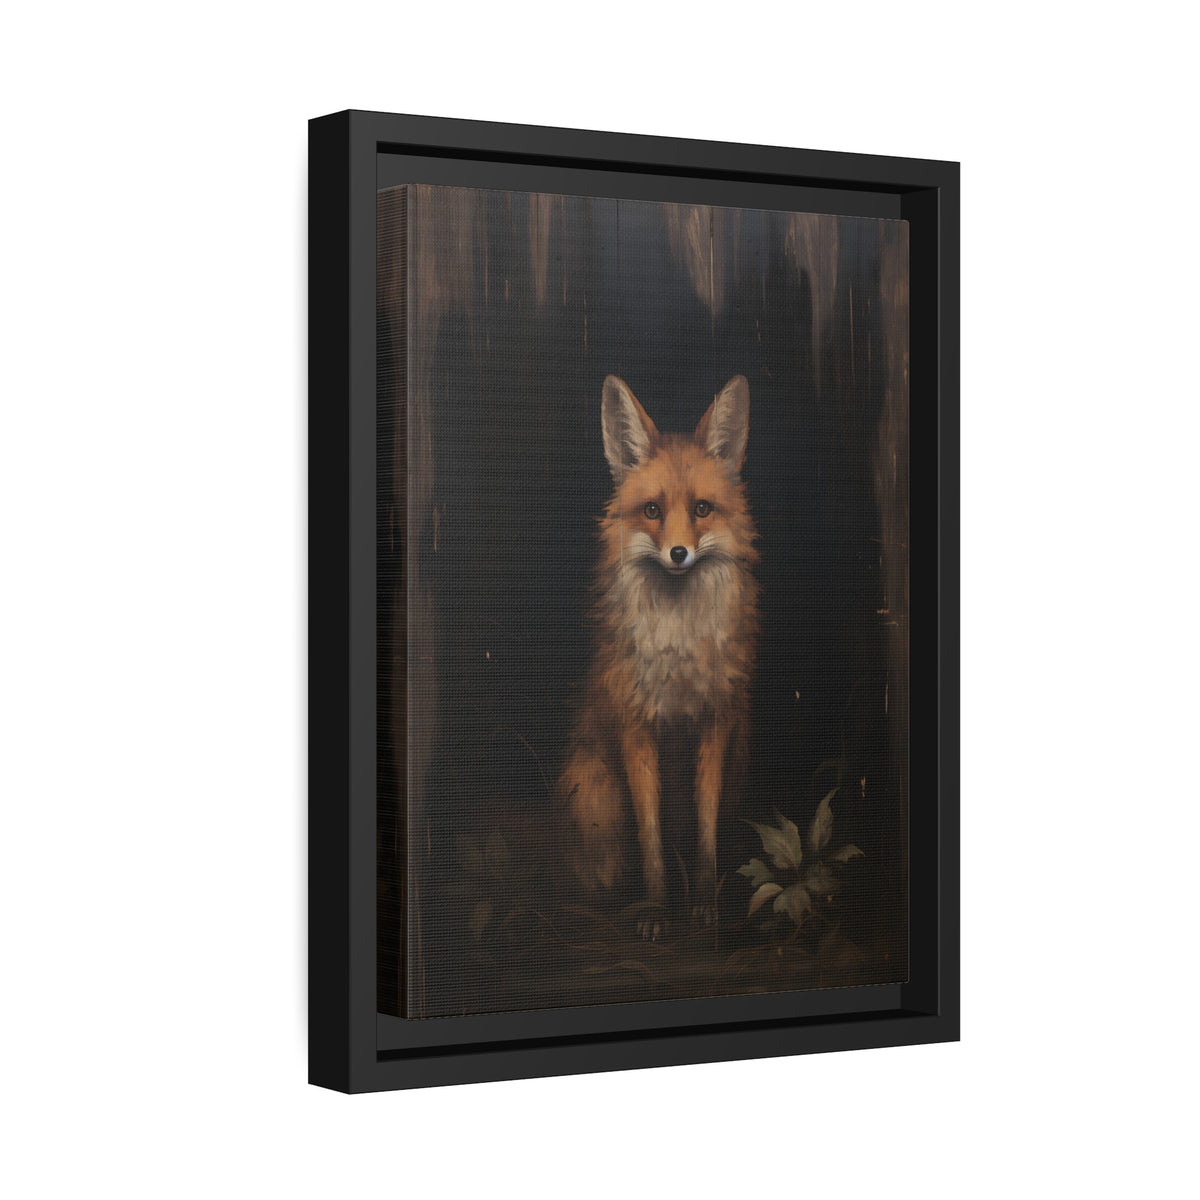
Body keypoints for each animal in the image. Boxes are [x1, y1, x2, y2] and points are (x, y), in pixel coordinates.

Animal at [558, 374, 760, 939]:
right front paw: (654, 908)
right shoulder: (636, 729)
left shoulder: (716, 726)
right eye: (651, 511)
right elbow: (649, 839)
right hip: (595, 789)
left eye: (702, 509)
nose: (678, 554)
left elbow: (706, 829)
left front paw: (705, 905)